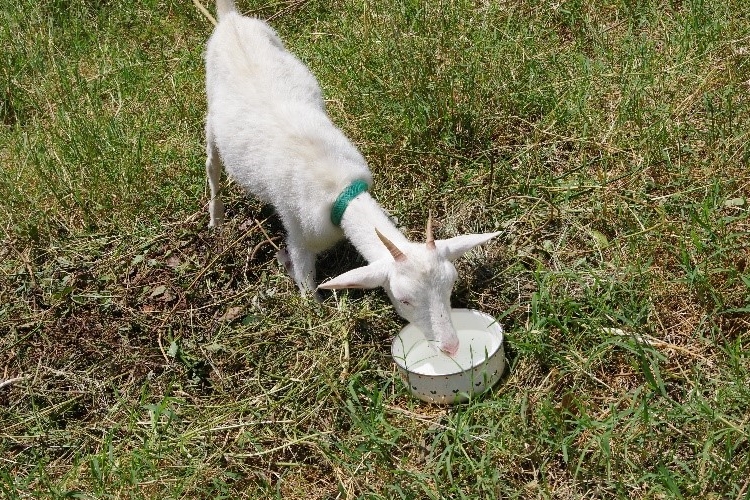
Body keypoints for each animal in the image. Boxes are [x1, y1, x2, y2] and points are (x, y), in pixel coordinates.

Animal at [204, 0, 500, 356]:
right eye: (404, 299)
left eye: (451, 282)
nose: (452, 347)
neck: (342, 193)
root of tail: (230, 19)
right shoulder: (298, 231)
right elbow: (305, 276)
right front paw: (314, 313)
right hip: (210, 113)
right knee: (212, 164)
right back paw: (216, 218)